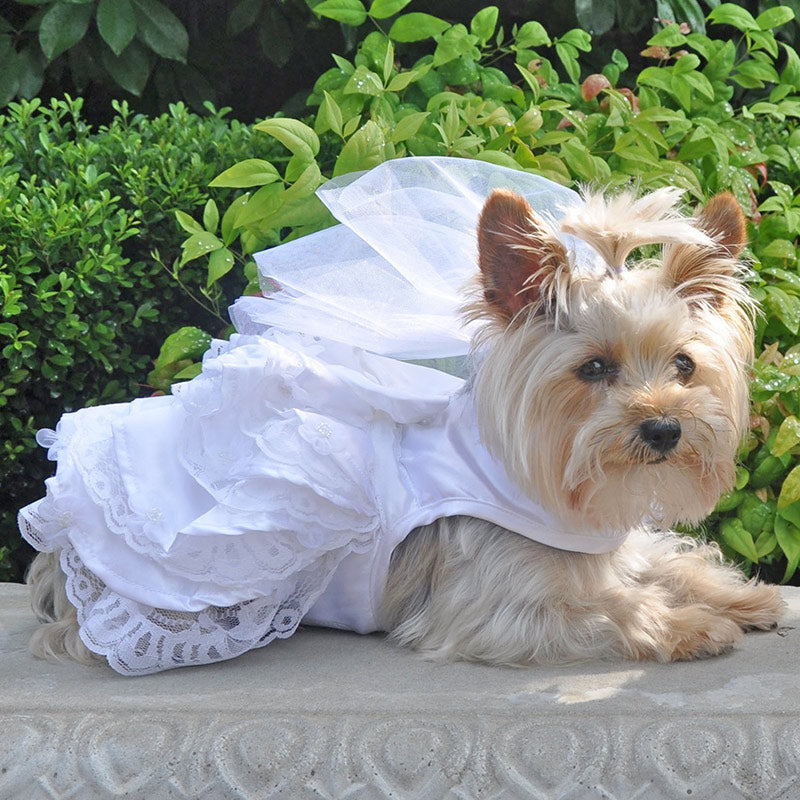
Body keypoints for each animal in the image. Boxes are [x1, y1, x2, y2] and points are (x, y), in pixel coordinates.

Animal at [26, 184, 788, 664]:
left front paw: (743, 597)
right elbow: (618, 608)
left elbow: (669, 560)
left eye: (685, 365)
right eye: (594, 368)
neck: (548, 485)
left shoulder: (608, 545)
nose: (663, 429)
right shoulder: (495, 610)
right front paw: (695, 625)